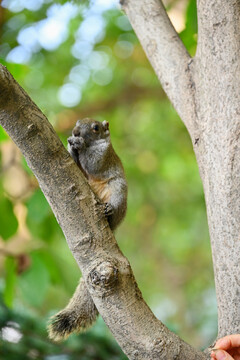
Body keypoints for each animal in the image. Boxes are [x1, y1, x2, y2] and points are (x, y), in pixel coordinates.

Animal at [47, 117, 128, 340]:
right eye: (76, 122)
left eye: (96, 128)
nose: (75, 132)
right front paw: (70, 143)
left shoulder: (103, 155)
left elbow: (93, 163)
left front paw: (79, 144)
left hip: (118, 191)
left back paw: (109, 211)